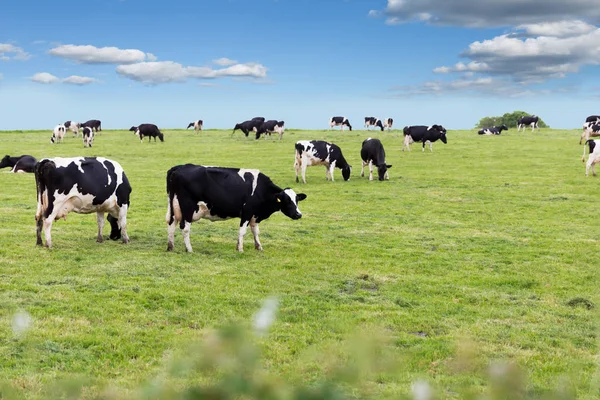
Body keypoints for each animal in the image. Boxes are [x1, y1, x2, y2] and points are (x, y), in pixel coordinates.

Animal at [166, 164, 308, 252]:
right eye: (287, 200)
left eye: (297, 200)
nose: (299, 215)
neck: (261, 189)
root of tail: (180, 167)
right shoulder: (247, 212)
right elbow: (242, 231)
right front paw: (240, 248)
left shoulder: (255, 215)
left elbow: (255, 231)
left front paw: (259, 247)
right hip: (188, 208)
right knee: (185, 228)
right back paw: (189, 249)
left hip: (174, 208)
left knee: (171, 225)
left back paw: (170, 247)